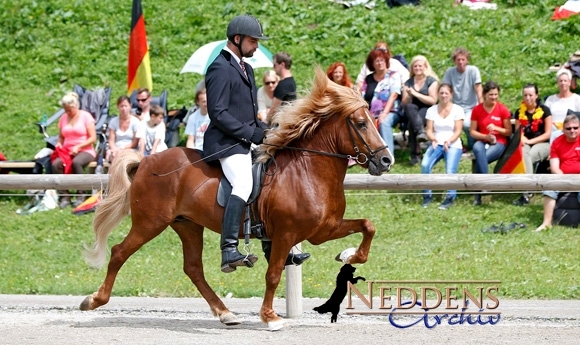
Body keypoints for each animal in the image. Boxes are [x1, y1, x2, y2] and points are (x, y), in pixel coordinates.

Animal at [81, 68, 394, 330]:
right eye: (361, 124)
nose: (386, 161)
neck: (307, 170)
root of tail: (145, 161)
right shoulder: (286, 234)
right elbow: (273, 274)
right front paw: (270, 317)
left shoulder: (323, 229)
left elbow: (368, 226)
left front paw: (349, 255)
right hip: (150, 222)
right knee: (119, 252)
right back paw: (93, 300)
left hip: (187, 224)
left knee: (193, 268)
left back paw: (225, 313)